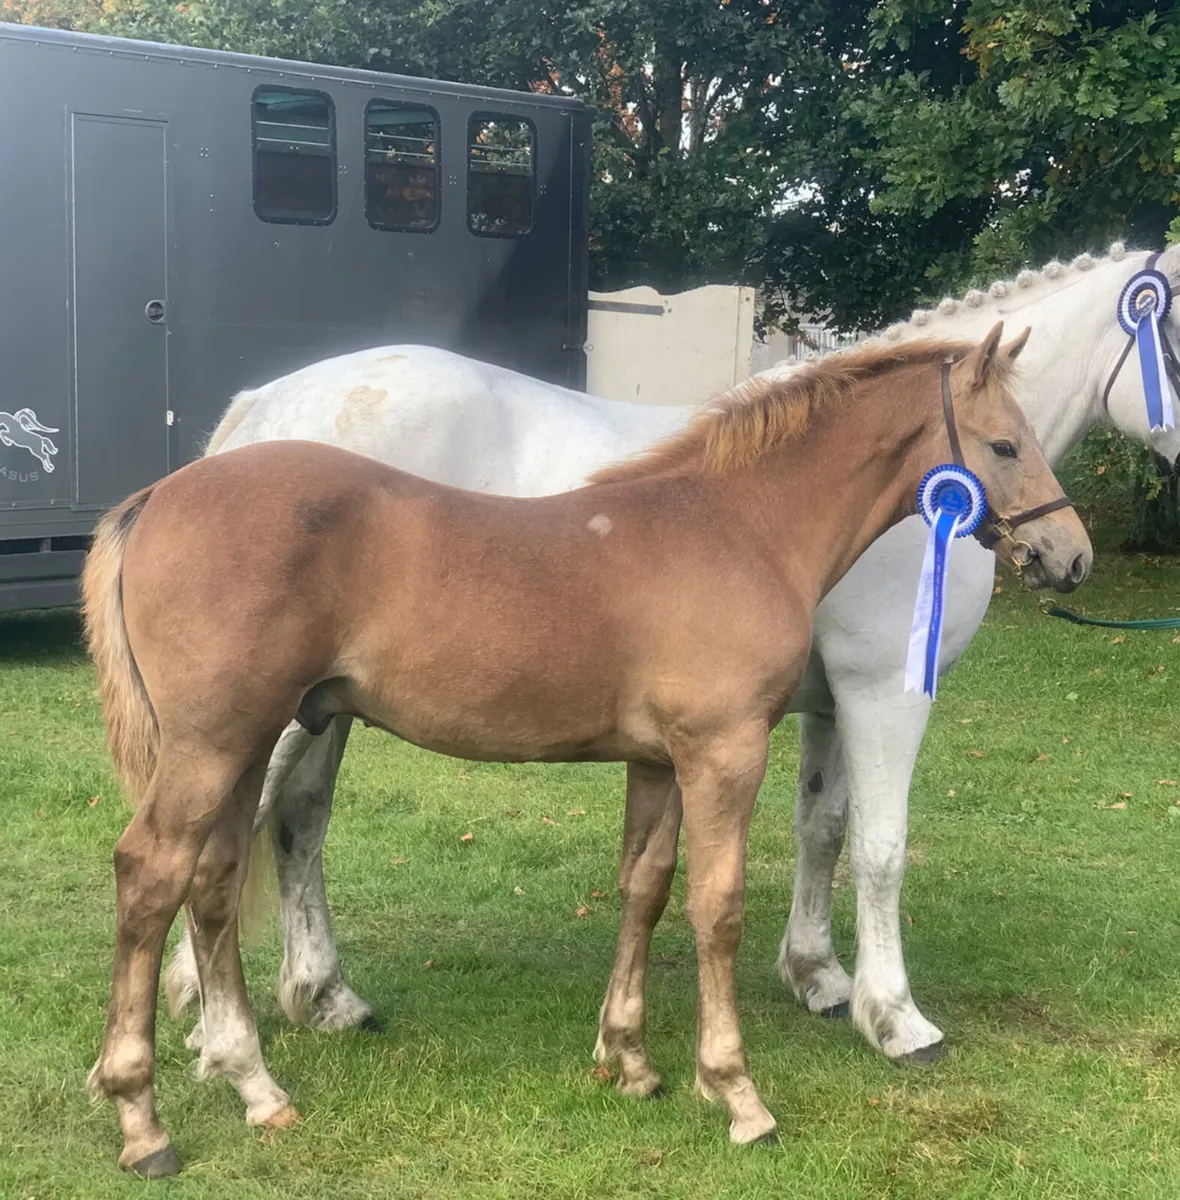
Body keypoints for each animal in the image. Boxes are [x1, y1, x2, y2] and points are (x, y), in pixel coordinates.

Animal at [83, 330, 1088, 1176]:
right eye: (1005, 445)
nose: (1067, 553)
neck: (740, 525)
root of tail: (161, 493)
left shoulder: (660, 761)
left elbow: (644, 890)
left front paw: (629, 1060)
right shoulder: (726, 753)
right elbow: (718, 908)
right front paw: (737, 1093)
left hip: (250, 742)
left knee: (214, 881)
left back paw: (254, 1083)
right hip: (218, 744)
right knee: (151, 874)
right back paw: (144, 1120)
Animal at [166, 243, 1180, 1070]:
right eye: (1003, 443)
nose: (1070, 558)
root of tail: (261, 410)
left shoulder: (823, 703)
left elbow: (823, 829)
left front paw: (818, 976)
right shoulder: (883, 694)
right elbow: (883, 849)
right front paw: (896, 1018)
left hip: (326, 707)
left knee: (297, 822)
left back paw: (322, 997)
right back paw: (208, 1009)